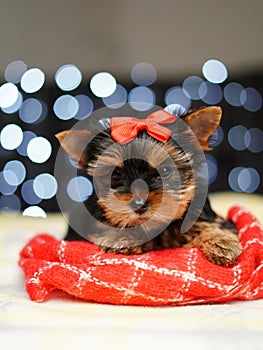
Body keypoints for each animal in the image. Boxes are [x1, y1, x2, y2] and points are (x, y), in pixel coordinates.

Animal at [56, 105, 243, 266]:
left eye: (165, 170)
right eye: (115, 174)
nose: (139, 205)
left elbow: (210, 226)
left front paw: (221, 241)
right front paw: (120, 238)